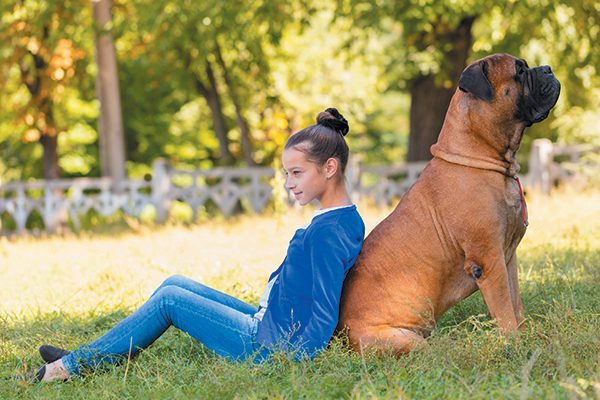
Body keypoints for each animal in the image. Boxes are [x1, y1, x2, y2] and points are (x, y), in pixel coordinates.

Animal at [340, 54, 560, 356]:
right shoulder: (488, 261)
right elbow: (505, 311)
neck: (479, 157)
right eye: (519, 71)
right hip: (409, 341)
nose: (548, 68)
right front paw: (515, 346)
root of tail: (341, 337)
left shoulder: (508, 258)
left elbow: (516, 305)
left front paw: (528, 338)